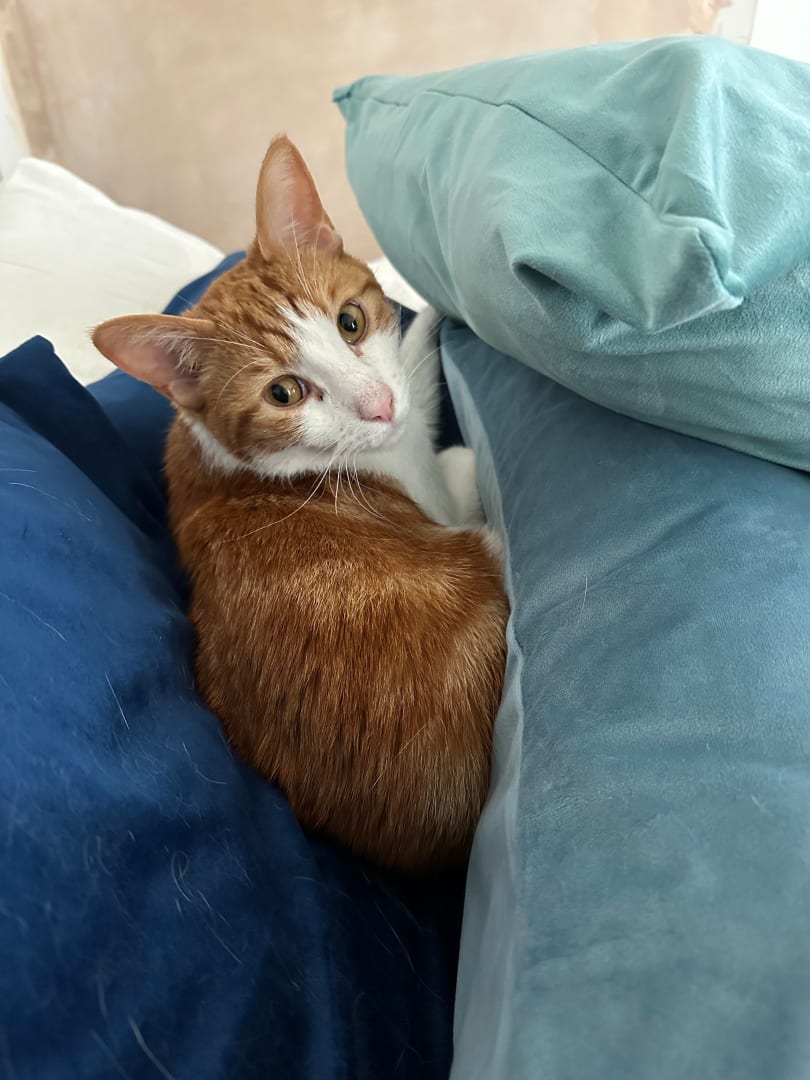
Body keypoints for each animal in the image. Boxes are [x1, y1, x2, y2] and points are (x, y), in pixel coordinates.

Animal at [93, 136, 508, 874]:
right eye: (283, 393)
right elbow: (443, 440)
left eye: (350, 322)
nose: (381, 406)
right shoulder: (426, 482)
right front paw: (435, 308)